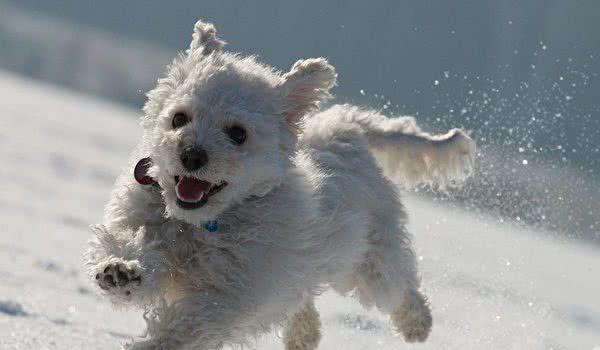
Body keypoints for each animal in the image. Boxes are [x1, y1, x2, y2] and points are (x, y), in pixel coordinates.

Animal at [84, 20, 476, 348]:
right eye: (179, 118)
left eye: (238, 133)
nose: (192, 155)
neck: (204, 223)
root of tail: (347, 125)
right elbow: (129, 250)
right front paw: (121, 270)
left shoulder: (233, 295)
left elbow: (189, 326)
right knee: (302, 298)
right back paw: (303, 336)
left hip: (371, 258)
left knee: (399, 286)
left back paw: (417, 324)